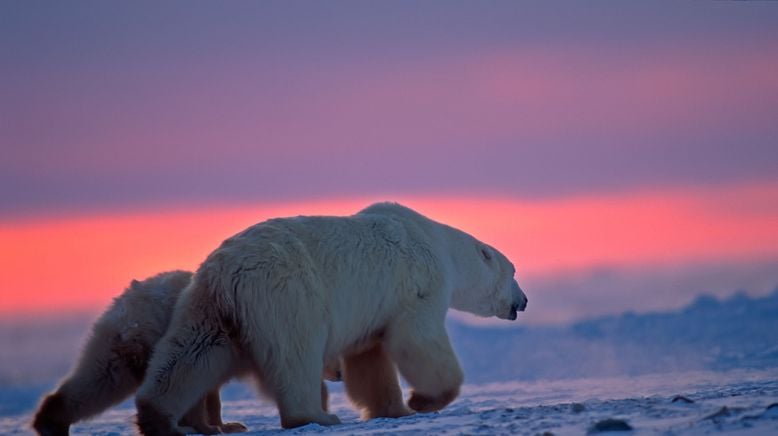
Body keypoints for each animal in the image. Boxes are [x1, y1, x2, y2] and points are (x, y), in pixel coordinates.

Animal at [31, 270, 250, 434]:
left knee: (100, 379)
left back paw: (50, 423)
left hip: (112, 343)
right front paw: (218, 427)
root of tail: (130, 316)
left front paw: (227, 425)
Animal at [135, 203, 528, 434]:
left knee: (191, 353)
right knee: (295, 354)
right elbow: (418, 340)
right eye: (513, 272)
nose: (523, 302)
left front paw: (394, 409)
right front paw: (422, 400)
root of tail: (227, 275)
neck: (437, 241)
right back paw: (315, 415)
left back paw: (159, 417)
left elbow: (371, 359)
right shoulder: (418, 284)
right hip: (288, 294)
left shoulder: (371, 309)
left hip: (207, 306)